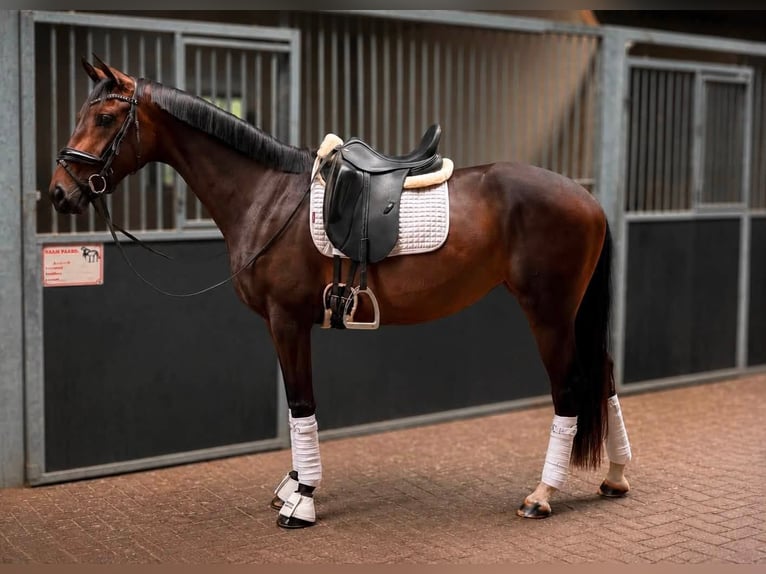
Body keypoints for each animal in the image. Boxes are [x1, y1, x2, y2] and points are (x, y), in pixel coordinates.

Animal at [48, 58, 633, 528]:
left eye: (105, 119)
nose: (59, 192)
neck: (268, 196)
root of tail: (588, 198)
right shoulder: (281, 325)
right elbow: (294, 406)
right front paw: (293, 485)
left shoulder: (287, 320)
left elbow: (301, 403)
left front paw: (302, 500)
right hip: (573, 315)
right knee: (604, 379)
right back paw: (617, 477)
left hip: (550, 315)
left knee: (569, 391)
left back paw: (542, 495)